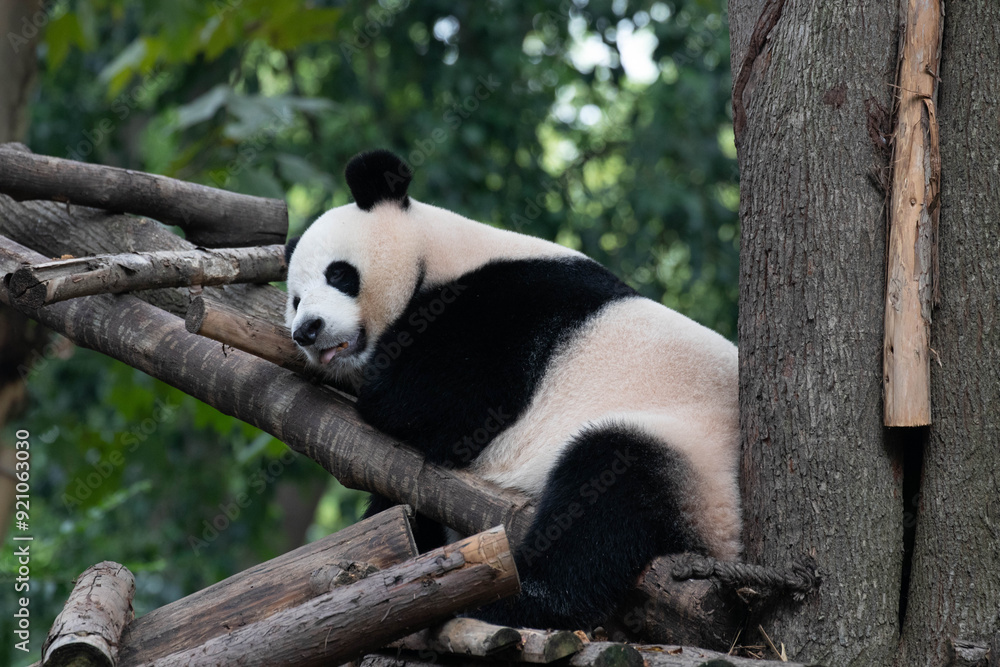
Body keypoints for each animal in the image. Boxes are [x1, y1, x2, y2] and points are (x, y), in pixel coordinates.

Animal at [285, 149, 740, 630]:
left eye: (339, 274)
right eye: (295, 300)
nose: (307, 330)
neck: (438, 252)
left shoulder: (505, 312)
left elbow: (439, 404)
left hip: (693, 457)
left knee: (608, 490)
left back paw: (514, 599)